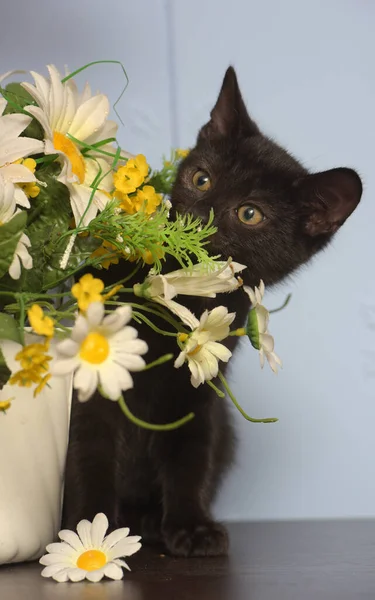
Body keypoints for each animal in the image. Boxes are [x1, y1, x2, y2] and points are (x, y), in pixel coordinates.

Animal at [63, 67, 362, 556]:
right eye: (201, 179)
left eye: (250, 213)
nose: (198, 217)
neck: (187, 301)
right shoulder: (93, 384)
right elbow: (90, 452)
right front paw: (93, 530)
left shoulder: (201, 393)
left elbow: (193, 456)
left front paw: (192, 525)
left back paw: (148, 519)